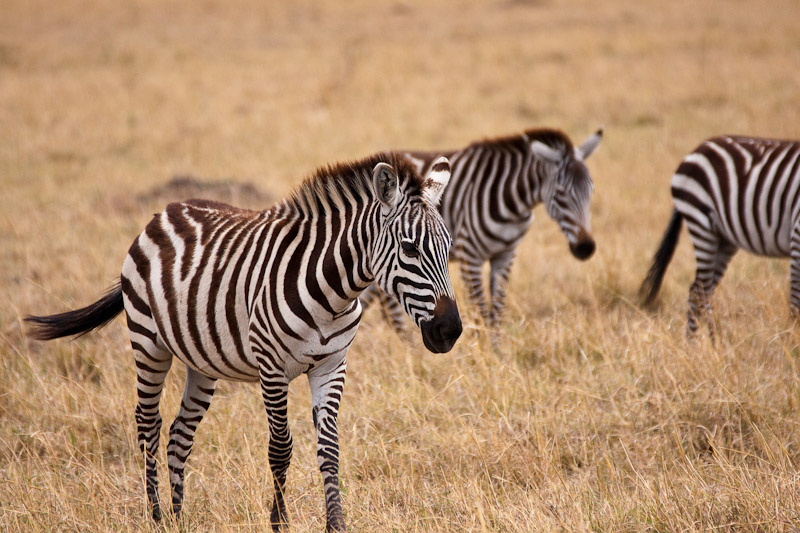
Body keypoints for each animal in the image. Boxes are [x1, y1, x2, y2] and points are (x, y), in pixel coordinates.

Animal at [23, 152, 462, 528]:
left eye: (449, 247)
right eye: (409, 249)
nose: (450, 331)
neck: (334, 294)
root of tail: (164, 212)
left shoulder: (332, 366)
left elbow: (330, 449)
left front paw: (336, 524)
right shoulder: (272, 368)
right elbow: (281, 448)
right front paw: (279, 523)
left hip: (202, 363)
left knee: (179, 435)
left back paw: (180, 519)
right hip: (148, 341)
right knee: (148, 424)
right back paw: (157, 517)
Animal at [360, 128, 600, 328]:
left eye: (591, 190)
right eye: (560, 193)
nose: (586, 248)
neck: (514, 204)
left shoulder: (505, 255)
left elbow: (497, 311)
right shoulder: (470, 258)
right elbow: (480, 312)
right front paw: (483, 349)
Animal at [640, 135, 800, 336]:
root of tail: (698, 149)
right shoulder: (797, 234)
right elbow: (795, 305)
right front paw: (792, 339)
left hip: (724, 240)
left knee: (703, 292)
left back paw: (709, 342)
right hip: (702, 225)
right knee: (699, 293)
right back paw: (702, 342)